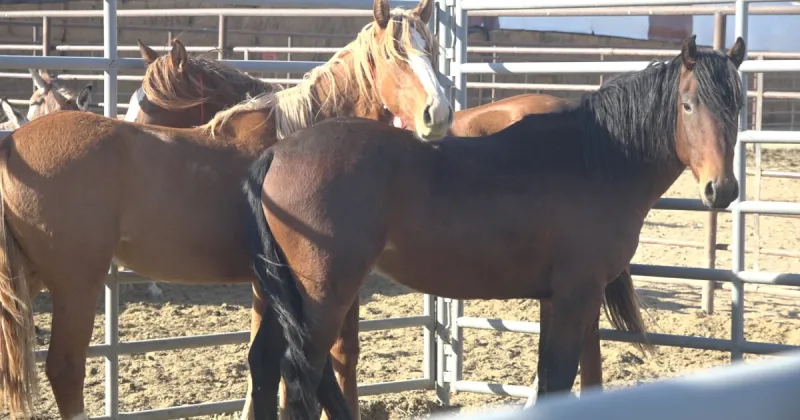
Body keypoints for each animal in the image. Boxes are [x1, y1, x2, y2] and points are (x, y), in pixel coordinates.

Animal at [0, 0, 451, 418]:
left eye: (431, 50)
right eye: (394, 54)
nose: (439, 114)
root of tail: (12, 142)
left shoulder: (266, 285)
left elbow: (264, 360)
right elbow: (340, 356)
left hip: (29, 278)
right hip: (76, 284)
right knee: (65, 368)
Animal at [242, 35, 746, 417]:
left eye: (738, 106)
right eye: (688, 105)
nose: (721, 189)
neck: (597, 161)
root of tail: (277, 153)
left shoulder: (568, 299)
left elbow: (573, 377)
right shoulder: (575, 296)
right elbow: (558, 378)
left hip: (291, 295)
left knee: (269, 363)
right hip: (324, 297)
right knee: (301, 372)